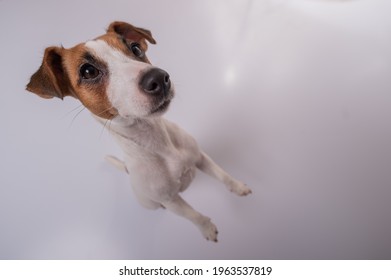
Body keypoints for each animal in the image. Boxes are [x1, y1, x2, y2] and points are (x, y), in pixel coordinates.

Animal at [26, 21, 253, 241]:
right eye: (88, 71)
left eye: (135, 48)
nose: (159, 78)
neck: (157, 142)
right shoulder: (171, 201)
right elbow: (194, 215)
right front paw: (206, 228)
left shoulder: (200, 157)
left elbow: (223, 175)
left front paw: (238, 186)